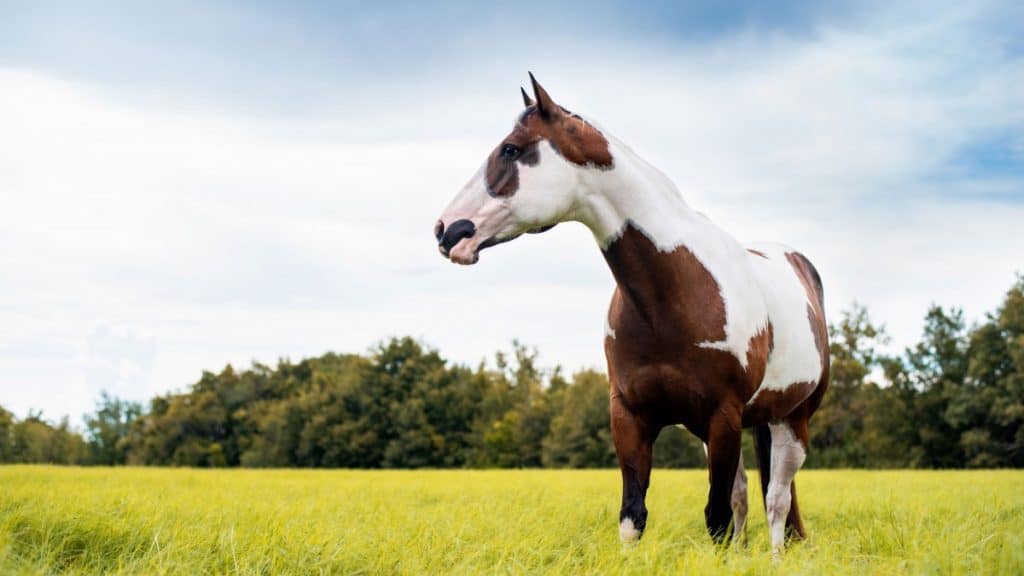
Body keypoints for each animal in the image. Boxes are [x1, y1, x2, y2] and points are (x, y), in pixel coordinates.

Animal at [430, 73, 823, 549]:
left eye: (511, 149)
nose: (447, 230)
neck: (673, 294)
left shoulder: (723, 416)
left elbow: (716, 517)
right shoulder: (631, 417)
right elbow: (634, 515)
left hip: (790, 421)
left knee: (777, 502)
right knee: (748, 495)